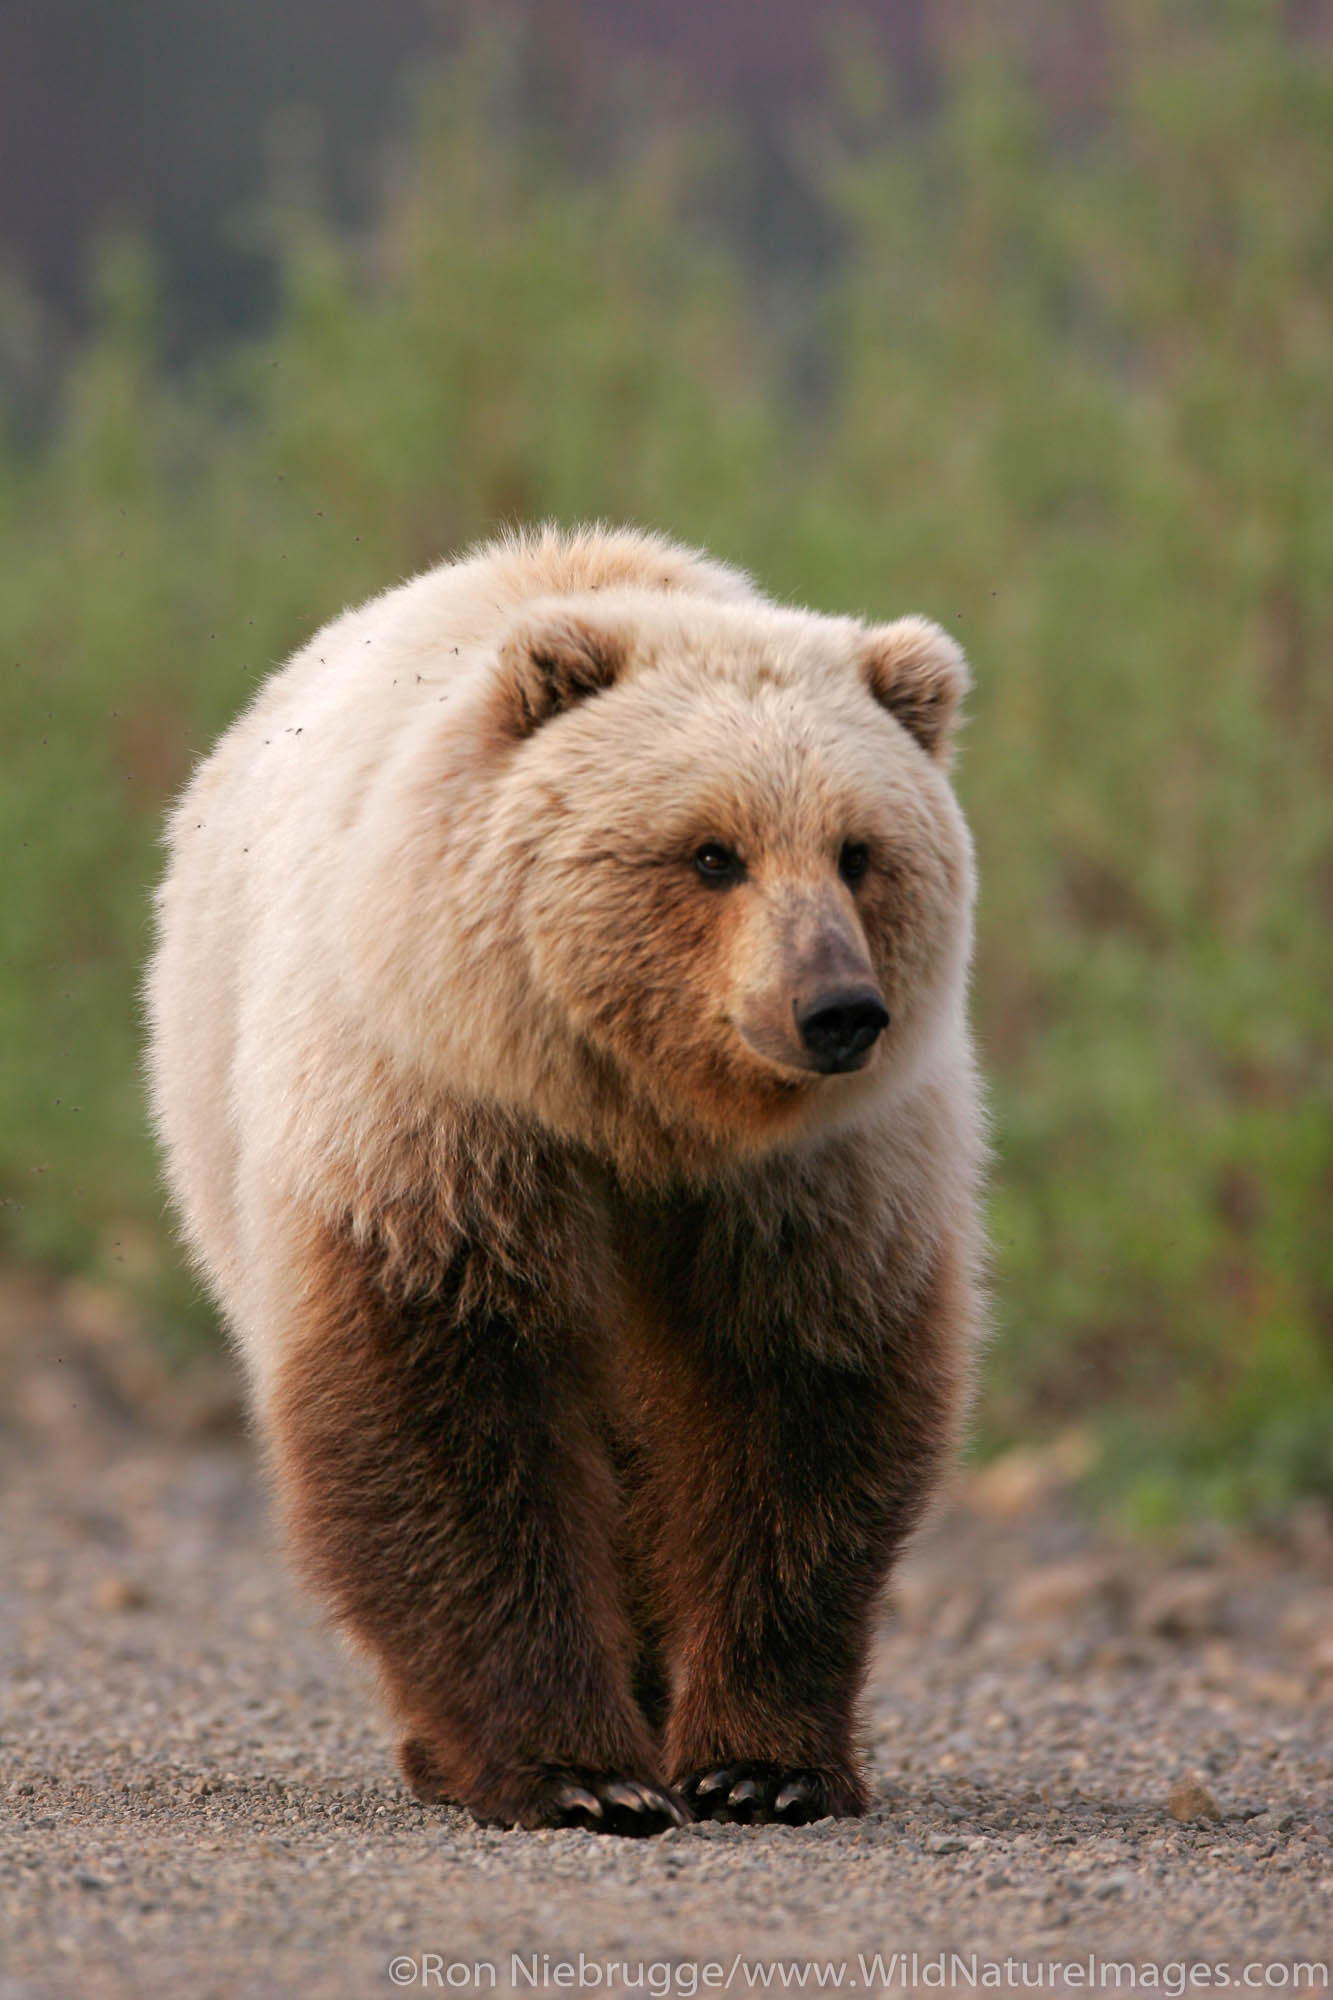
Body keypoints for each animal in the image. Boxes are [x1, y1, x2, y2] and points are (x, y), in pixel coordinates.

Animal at [145, 524, 980, 1832]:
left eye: (859, 852)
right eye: (711, 852)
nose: (836, 1009)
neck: (644, 1112)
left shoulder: (815, 1183)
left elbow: (798, 1402)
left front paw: (761, 1764)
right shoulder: (444, 1123)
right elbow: (452, 1408)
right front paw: (581, 1770)